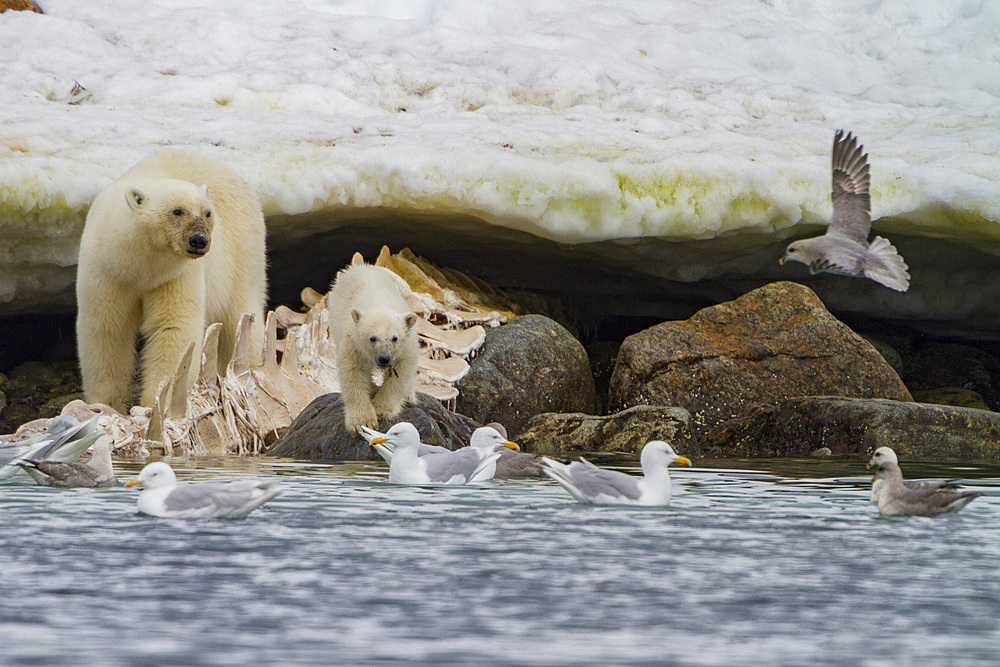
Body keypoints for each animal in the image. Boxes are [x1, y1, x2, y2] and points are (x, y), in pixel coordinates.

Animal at [76, 151, 266, 412]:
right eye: (177, 211)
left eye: (207, 212)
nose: (199, 240)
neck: (140, 264)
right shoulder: (108, 270)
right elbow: (107, 328)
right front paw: (106, 404)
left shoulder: (176, 275)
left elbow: (173, 328)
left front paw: (156, 403)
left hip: (243, 253)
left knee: (239, 315)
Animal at [328, 264, 418, 436]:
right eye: (372, 338)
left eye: (394, 338)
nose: (384, 359)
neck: (379, 304)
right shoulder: (353, 343)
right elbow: (353, 373)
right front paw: (362, 421)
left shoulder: (406, 347)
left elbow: (400, 373)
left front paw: (381, 408)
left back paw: (409, 395)